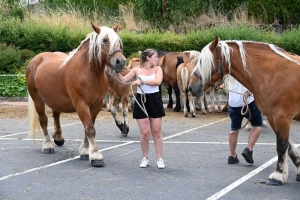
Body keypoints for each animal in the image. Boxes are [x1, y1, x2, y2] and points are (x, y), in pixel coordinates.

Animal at [24, 23, 125, 167]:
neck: (90, 73)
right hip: (37, 99)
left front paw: (85, 151)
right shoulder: (81, 105)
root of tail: (35, 60)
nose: (120, 62)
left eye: (117, 41)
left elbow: (88, 128)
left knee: (56, 115)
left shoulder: (96, 105)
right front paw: (95, 156)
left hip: (56, 99)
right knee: (43, 120)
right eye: (105, 40)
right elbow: (90, 129)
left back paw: (58, 137)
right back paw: (48, 145)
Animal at [189, 36, 300, 186]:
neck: (275, 74)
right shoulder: (273, 118)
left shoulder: (282, 117)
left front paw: (278, 175)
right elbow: (288, 145)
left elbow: (282, 145)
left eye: (202, 62)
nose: (191, 87)